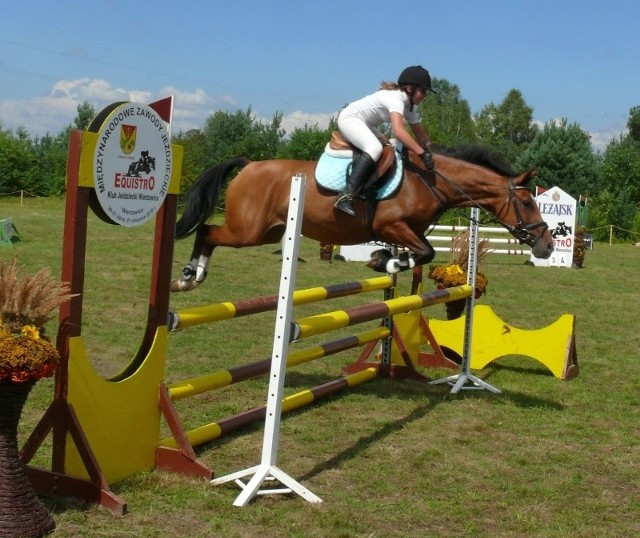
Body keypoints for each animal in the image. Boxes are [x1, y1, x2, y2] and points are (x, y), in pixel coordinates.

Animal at [171, 144, 556, 292]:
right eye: (527, 202)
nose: (548, 246)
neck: (429, 181)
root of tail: (250, 165)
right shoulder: (391, 225)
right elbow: (426, 253)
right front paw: (382, 262)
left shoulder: (409, 231)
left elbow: (422, 252)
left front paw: (382, 258)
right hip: (247, 231)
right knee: (208, 231)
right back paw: (189, 276)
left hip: (267, 231)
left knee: (210, 232)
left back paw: (192, 276)